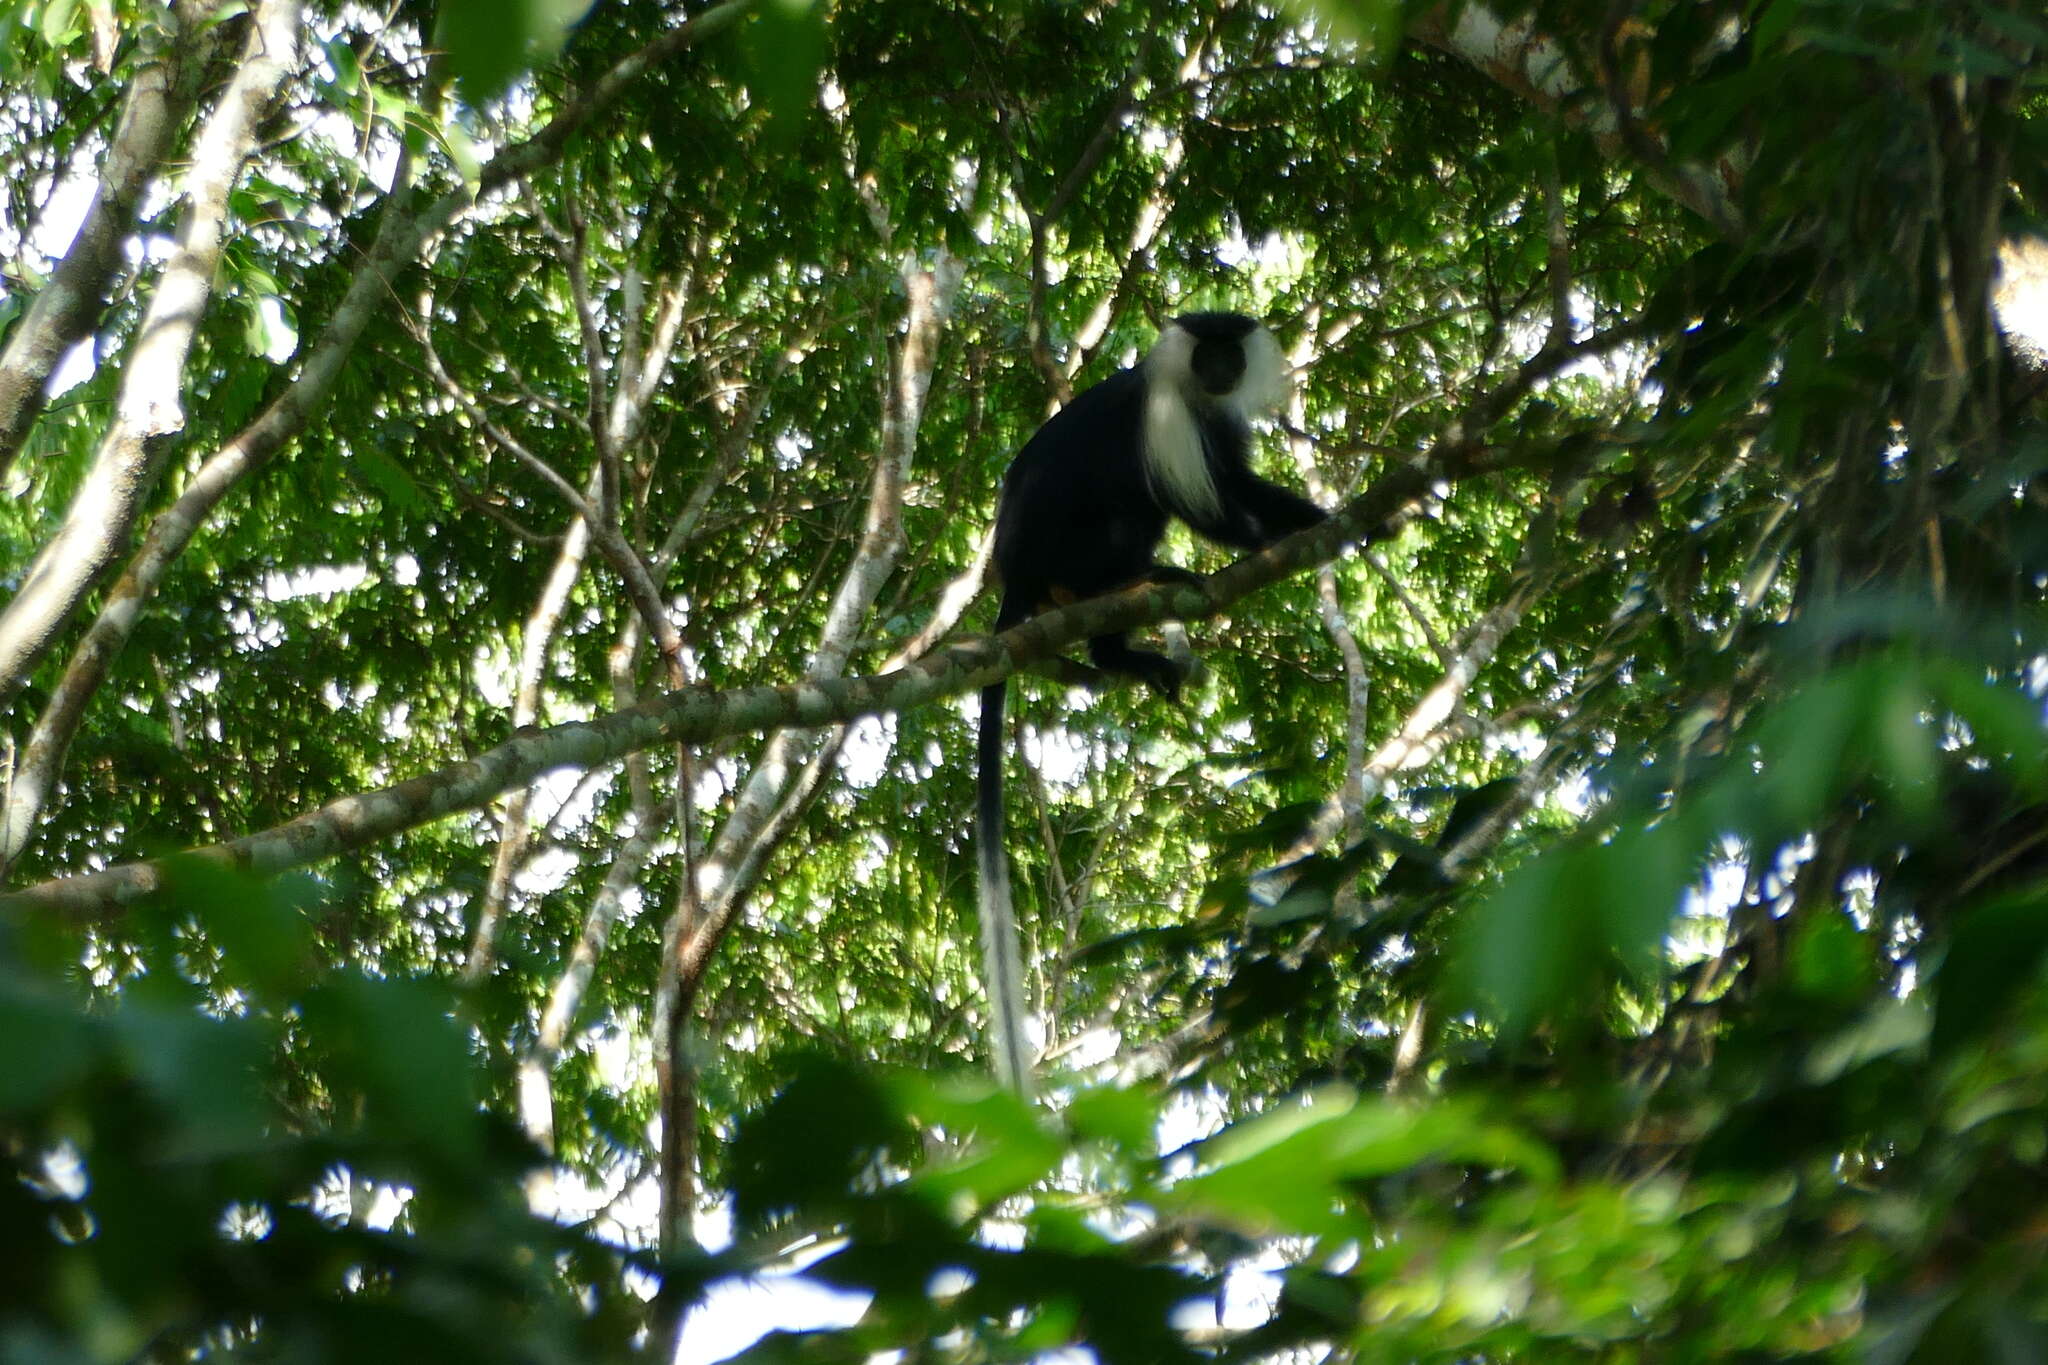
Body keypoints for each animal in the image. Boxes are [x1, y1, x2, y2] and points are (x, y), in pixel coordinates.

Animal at [974, 315, 1327, 1096]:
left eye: (1231, 352)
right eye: (1207, 350)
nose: (1222, 367)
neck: (1194, 393)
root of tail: (1019, 575)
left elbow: (1234, 482)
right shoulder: (1167, 416)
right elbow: (1212, 504)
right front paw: (1301, 529)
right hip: (1075, 547)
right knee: (1134, 511)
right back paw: (1138, 595)